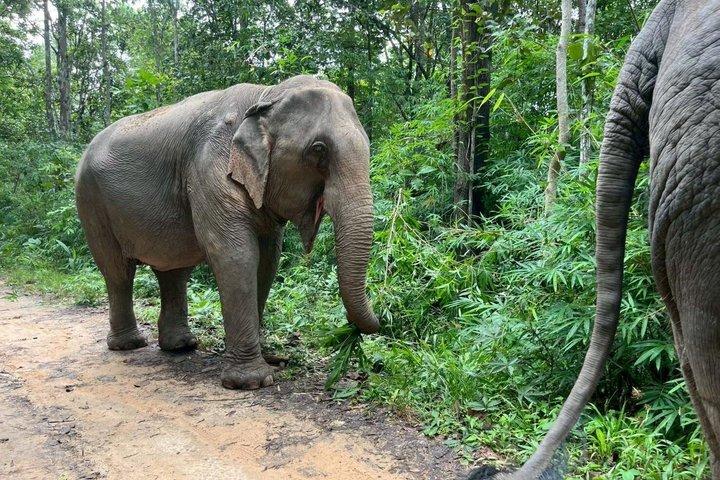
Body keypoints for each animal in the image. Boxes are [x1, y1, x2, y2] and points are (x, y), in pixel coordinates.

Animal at [75, 75, 380, 390]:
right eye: (318, 150)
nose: (373, 322)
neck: (266, 94)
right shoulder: (209, 169)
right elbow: (237, 255)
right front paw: (253, 381)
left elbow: (268, 260)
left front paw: (266, 361)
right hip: (90, 202)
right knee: (118, 272)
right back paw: (129, 345)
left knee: (174, 272)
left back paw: (181, 346)